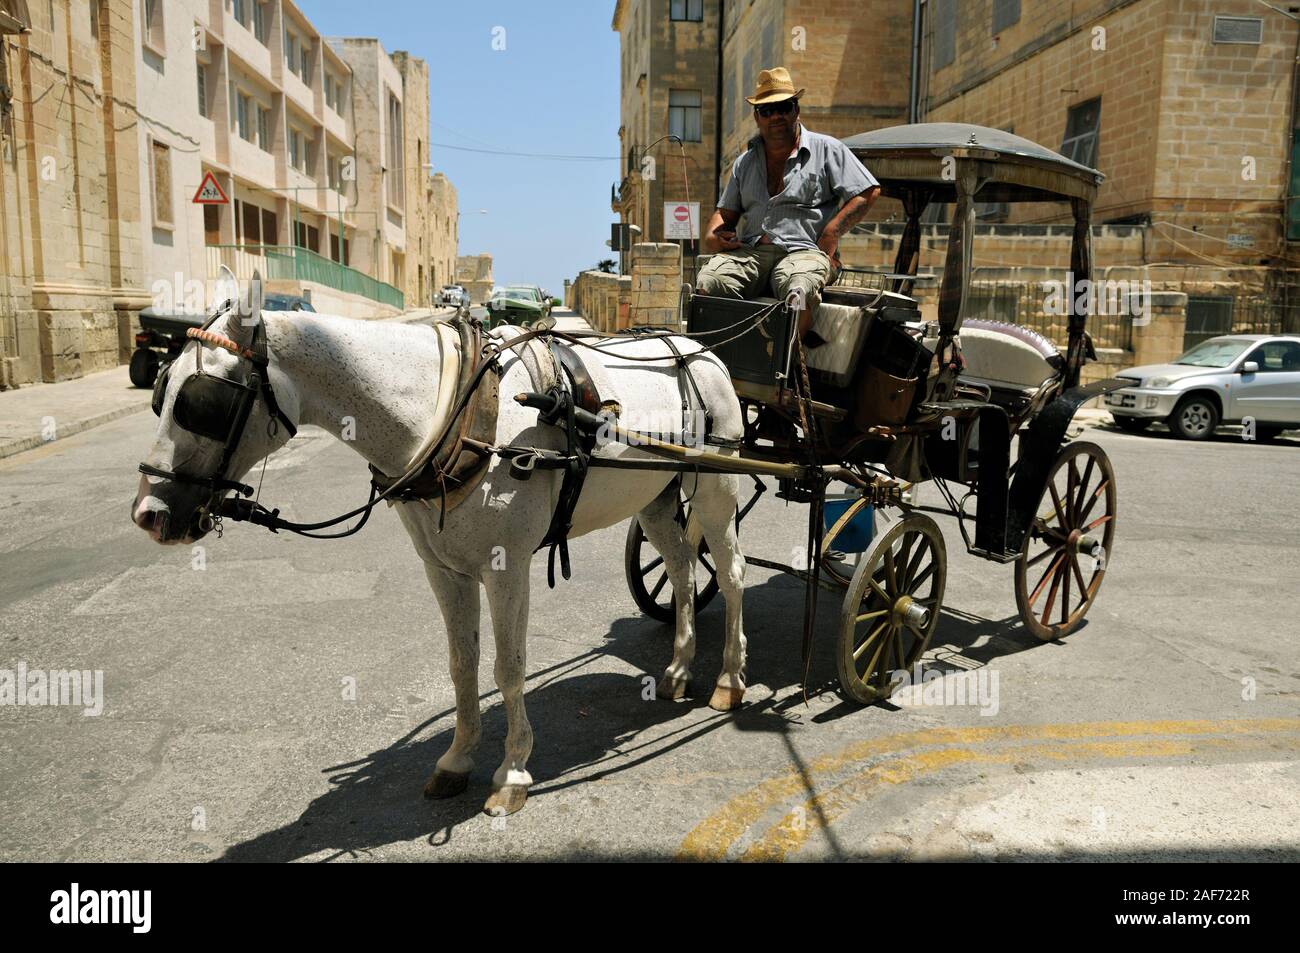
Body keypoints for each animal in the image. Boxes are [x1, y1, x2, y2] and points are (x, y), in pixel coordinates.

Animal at [132, 274, 748, 816]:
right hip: (656, 496)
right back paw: (677, 670)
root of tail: (702, 349)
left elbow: (508, 668)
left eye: (202, 403)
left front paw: (512, 773)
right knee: (682, 566)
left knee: (732, 571)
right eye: (160, 392)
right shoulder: (443, 569)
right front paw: (457, 759)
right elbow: (461, 664)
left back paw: (728, 680)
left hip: (716, 486)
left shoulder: (507, 568)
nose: (149, 515)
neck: (447, 411)